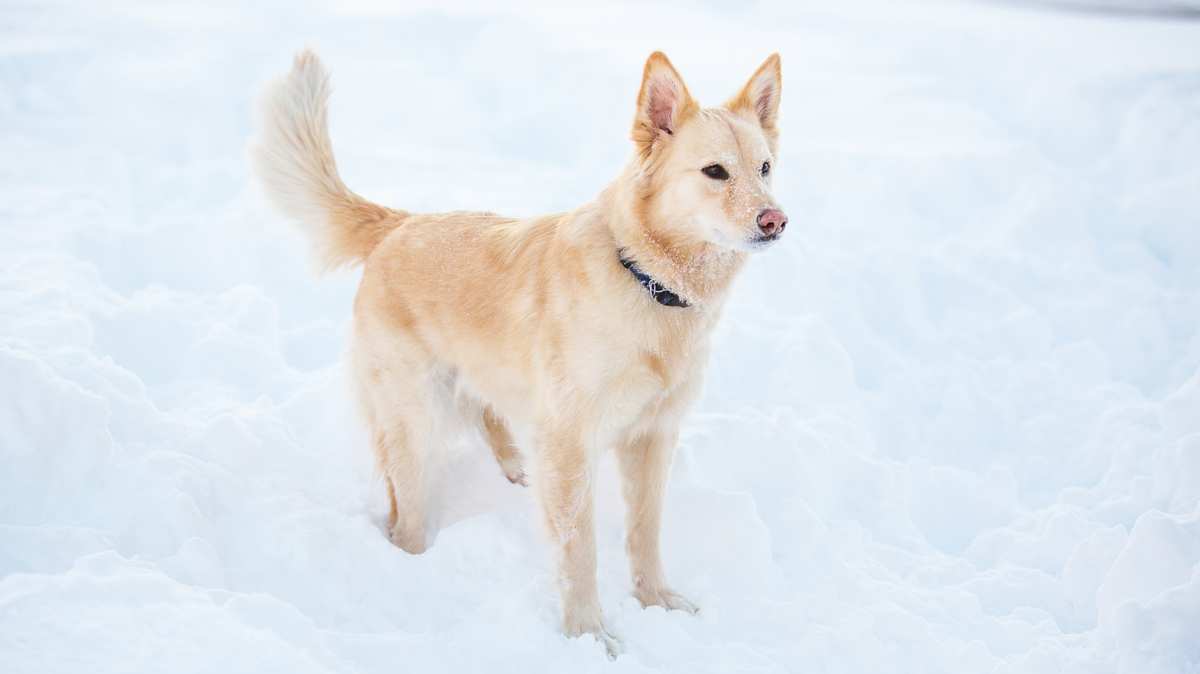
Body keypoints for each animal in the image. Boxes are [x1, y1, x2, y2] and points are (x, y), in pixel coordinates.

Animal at [250, 48, 787, 657]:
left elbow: (645, 534)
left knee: (492, 420)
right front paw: (588, 635)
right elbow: (578, 552)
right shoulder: (572, 442)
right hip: (415, 420)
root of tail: (401, 224)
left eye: (764, 168)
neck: (648, 281)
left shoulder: (653, 436)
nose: (776, 221)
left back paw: (515, 471)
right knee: (402, 509)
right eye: (714, 172)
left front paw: (656, 602)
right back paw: (413, 561)